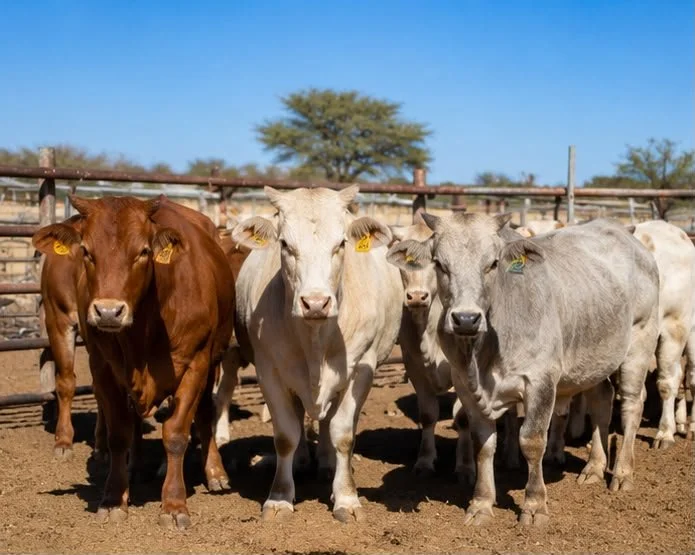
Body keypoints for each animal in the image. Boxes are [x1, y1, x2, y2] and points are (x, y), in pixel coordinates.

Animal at [32, 195, 234, 530]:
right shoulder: (104, 366)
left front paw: (174, 504)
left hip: (214, 359)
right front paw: (114, 498)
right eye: (86, 251)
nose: (108, 311)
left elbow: (176, 433)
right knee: (71, 384)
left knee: (206, 411)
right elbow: (118, 434)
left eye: (143, 251)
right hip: (60, 322)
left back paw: (215, 472)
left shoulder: (196, 364)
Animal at [232, 185, 402, 522]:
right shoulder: (268, 370)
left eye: (341, 243)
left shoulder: (361, 369)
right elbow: (286, 435)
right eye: (285, 244)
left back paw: (327, 464)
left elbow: (343, 433)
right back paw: (302, 462)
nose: (315, 303)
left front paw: (347, 498)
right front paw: (280, 497)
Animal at [387, 213, 659, 526]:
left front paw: (534, 505)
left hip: (639, 343)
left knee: (631, 405)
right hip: (595, 359)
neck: (485, 350)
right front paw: (481, 503)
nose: (466, 319)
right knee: (602, 400)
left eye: (493, 263)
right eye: (439, 264)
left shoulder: (541, 382)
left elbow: (532, 440)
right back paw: (594, 467)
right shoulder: (465, 387)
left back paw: (623, 473)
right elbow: (483, 443)